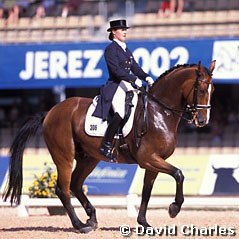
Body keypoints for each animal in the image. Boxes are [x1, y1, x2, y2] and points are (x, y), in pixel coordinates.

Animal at [3, 60, 217, 233]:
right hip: (64, 156)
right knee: (63, 189)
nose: (203, 121)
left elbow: (147, 190)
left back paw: (91, 218)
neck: (159, 112)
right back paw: (80, 225)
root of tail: (50, 112)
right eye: (200, 88)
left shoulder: (154, 162)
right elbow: (179, 174)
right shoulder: (148, 158)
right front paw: (174, 208)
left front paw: (144, 223)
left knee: (75, 184)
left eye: (213, 90)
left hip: (89, 158)